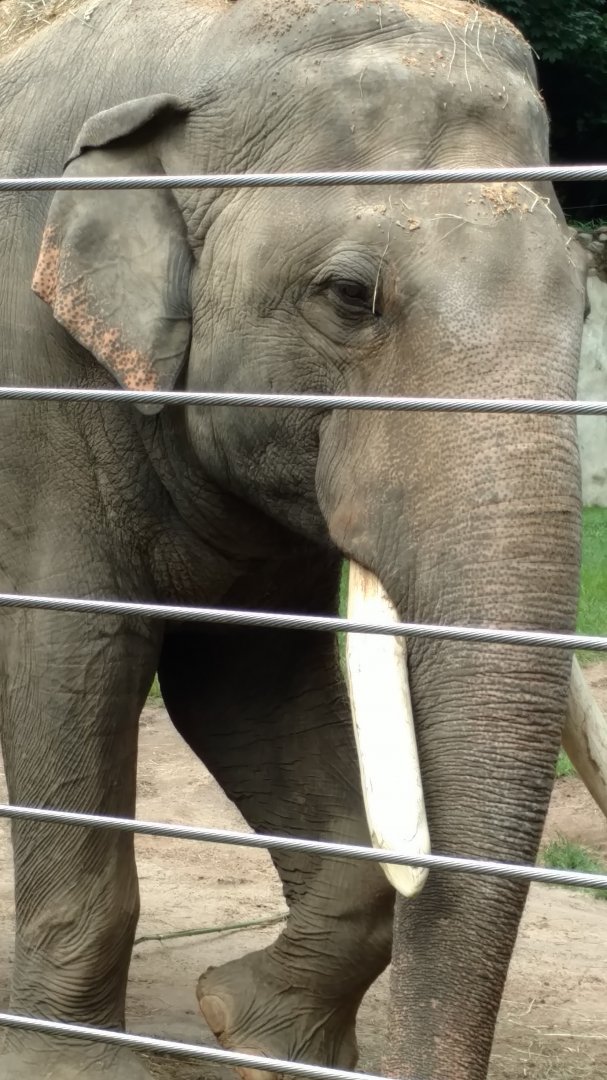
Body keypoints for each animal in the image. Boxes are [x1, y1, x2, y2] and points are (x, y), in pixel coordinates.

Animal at [0, 1, 605, 1079]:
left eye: (583, 300)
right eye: (350, 296)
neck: (206, 43)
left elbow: (249, 684)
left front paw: (254, 1031)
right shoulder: (40, 387)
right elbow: (69, 658)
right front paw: (72, 1065)